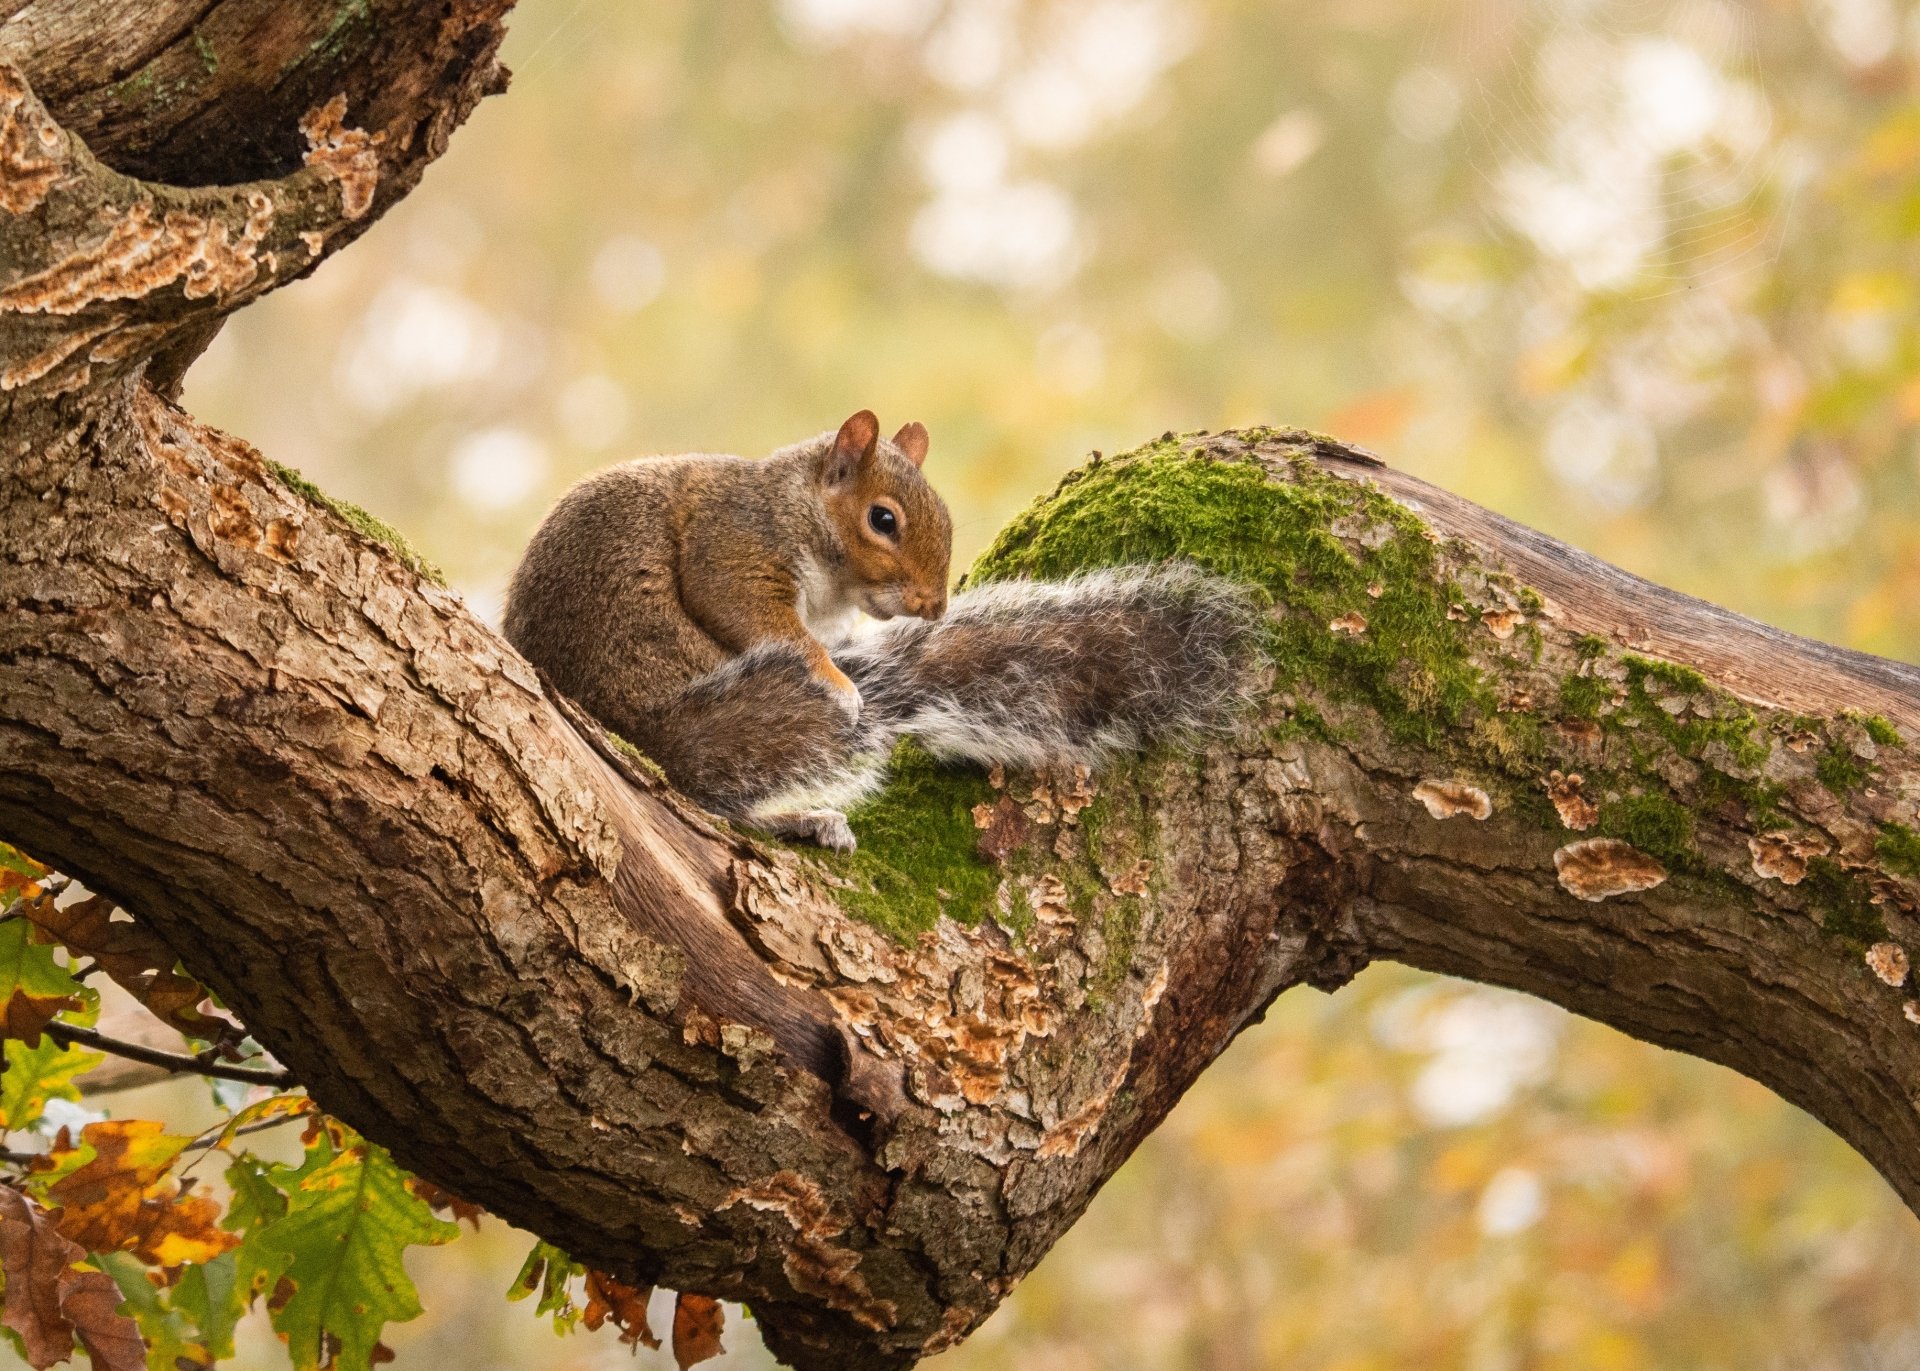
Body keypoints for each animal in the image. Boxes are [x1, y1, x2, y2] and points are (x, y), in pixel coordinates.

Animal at [504, 410, 1260, 851]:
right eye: (883, 519)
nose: (933, 607)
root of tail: (648, 726)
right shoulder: (736, 545)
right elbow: (761, 618)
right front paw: (837, 682)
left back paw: (801, 818)